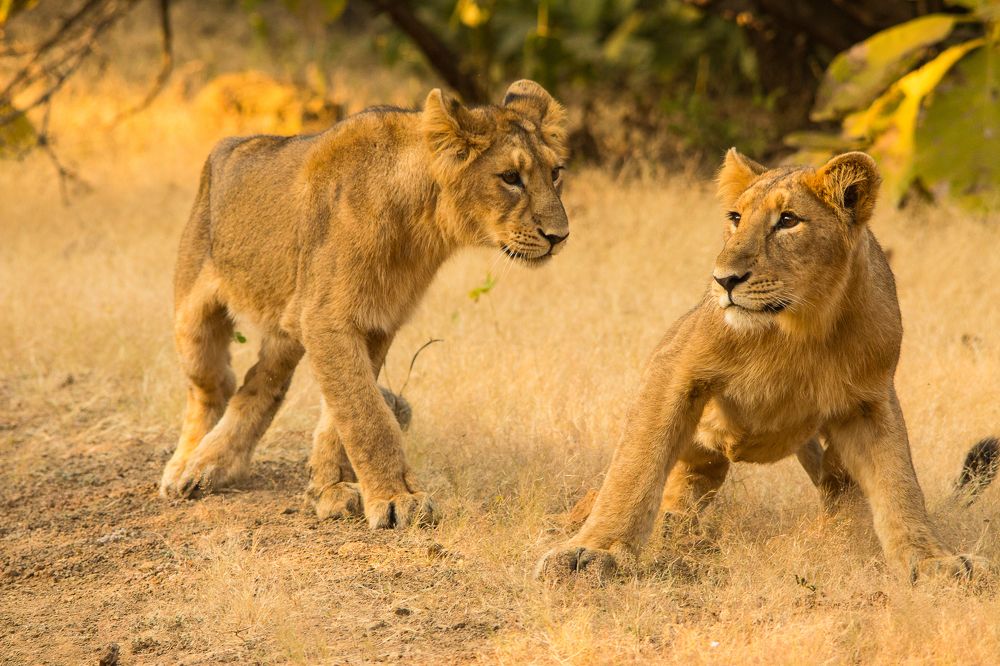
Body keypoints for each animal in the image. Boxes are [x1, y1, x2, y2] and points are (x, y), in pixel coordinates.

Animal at [159, 80, 570, 531]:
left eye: (555, 173)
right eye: (511, 177)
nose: (560, 236)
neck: (421, 224)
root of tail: (225, 146)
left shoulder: (375, 320)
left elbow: (343, 415)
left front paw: (330, 489)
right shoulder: (327, 319)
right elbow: (366, 416)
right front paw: (397, 499)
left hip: (288, 321)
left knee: (260, 384)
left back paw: (215, 462)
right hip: (194, 315)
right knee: (214, 382)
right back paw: (188, 468)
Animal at [537, 149, 995, 583]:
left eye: (788, 220)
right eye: (735, 218)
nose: (724, 279)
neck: (800, 328)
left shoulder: (870, 398)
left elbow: (899, 482)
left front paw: (935, 561)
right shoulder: (674, 365)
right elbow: (635, 465)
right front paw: (591, 552)